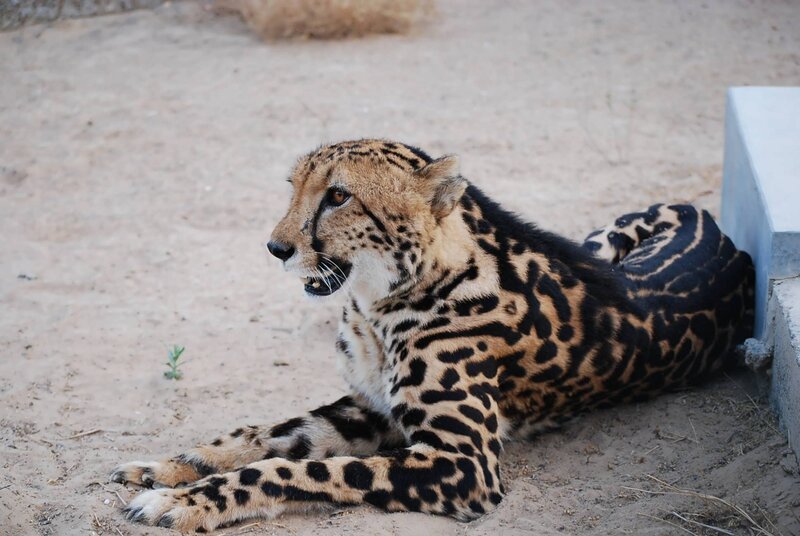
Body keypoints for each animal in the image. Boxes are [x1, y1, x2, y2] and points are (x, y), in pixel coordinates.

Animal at [111, 139, 754, 532]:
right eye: (294, 187)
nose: (276, 248)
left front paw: (186, 502)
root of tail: (717, 228)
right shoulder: (368, 409)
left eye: (338, 196)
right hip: (597, 240)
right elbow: (260, 435)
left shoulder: (464, 464)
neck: (384, 299)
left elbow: (295, 470)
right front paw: (166, 468)